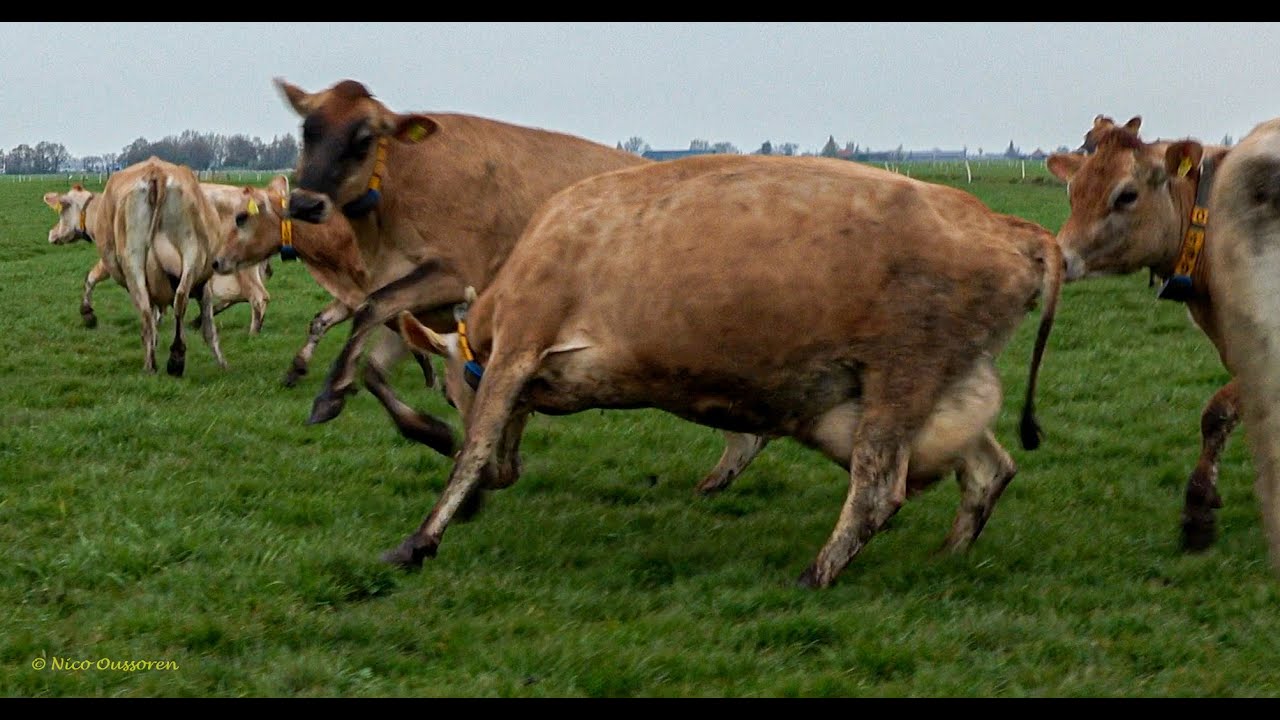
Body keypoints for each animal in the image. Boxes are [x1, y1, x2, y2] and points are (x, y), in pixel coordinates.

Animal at [50, 182, 273, 335]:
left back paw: (253, 332)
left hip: (241, 270)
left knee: (258, 297)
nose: (51, 234)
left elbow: (91, 278)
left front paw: (88, 313)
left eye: (62, 211)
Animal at [274, 77, 771, 492]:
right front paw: (434, 433)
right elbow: (377, 369)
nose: (304, 203)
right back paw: (725, 471)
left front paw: (328, 396)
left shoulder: (453, 274)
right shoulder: (430, 309)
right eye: (308, 132)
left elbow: (370, 308)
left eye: (363, 140)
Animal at [384, 153, 1064, 589]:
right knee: (989, 470)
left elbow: (473, 447)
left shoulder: (520, 343)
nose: (507, 476)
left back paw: (813, 576)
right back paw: (946, 557)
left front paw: (420, 540)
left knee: (878, 489)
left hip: (902, 376)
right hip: (940, 385)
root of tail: (1012, 228)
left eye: (452, 395)